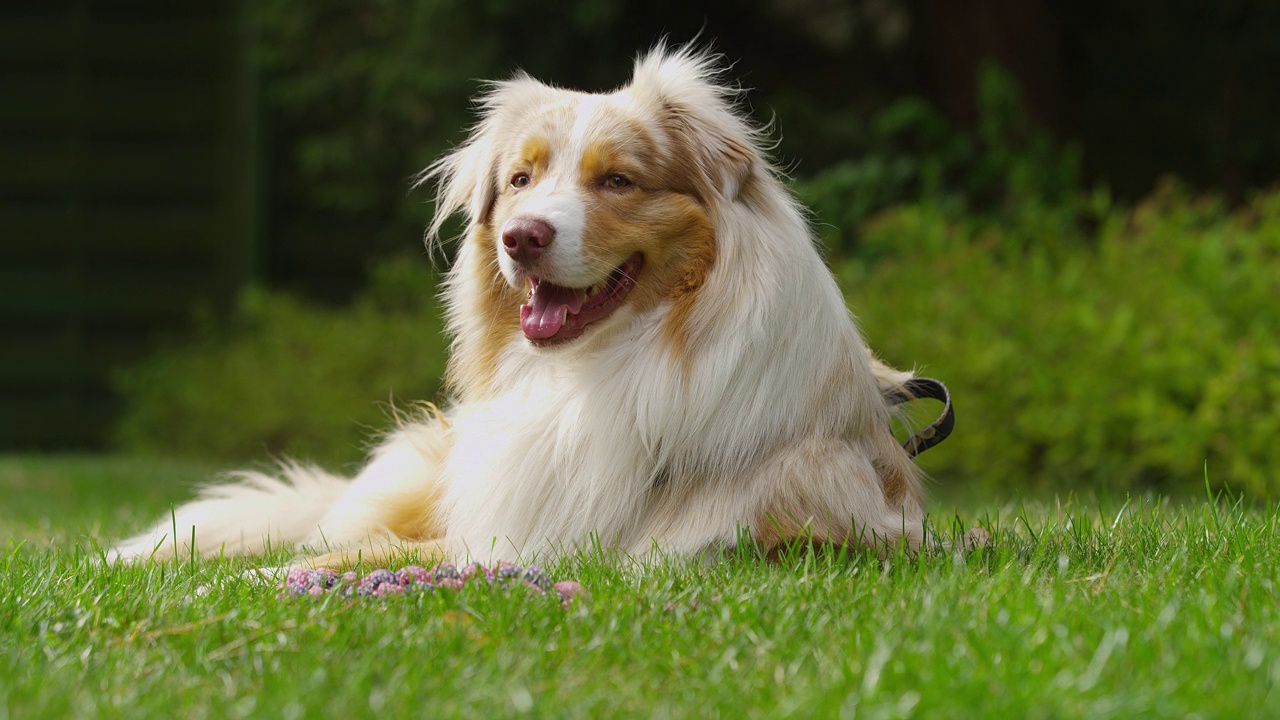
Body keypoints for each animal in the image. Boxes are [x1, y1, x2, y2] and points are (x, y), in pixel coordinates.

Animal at [110, 47, 931, 568]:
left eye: (618, 181)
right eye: (520, 179)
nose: (522, 237)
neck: (597, 369)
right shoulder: (493, 524)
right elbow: (350, 556)